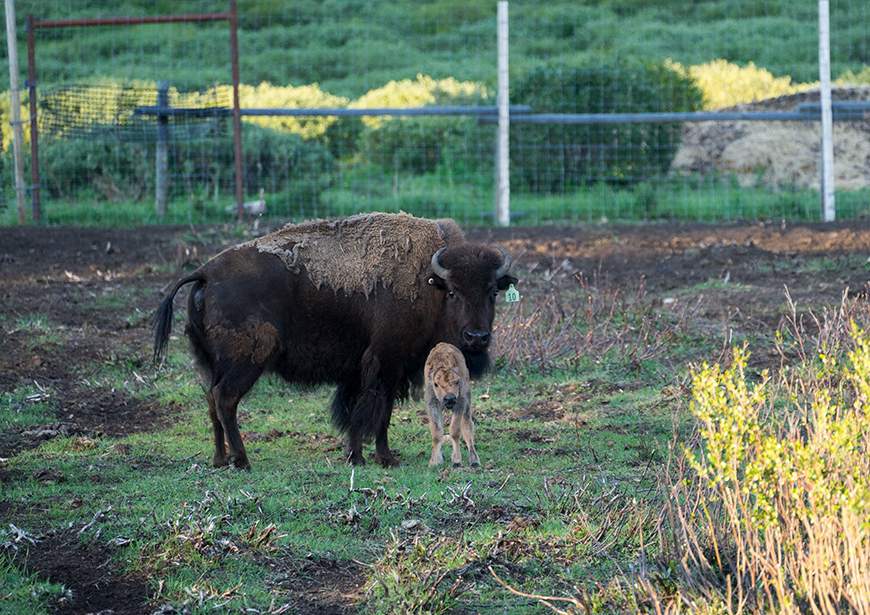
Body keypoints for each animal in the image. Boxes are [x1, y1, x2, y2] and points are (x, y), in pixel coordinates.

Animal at [153, 213, 516, 469]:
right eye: (453, 292)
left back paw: (220, 459)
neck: (428, 281)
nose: (476, 337)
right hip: (247, 361)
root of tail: (205, 273)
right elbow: (376, 411)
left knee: (211, 399)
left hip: (212, 363)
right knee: (225, 399)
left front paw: (358, 454)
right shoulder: (386, 363)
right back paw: (242, 460)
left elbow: (359, 411)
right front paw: (379, 458)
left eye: (492, 292)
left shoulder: (362, 370)